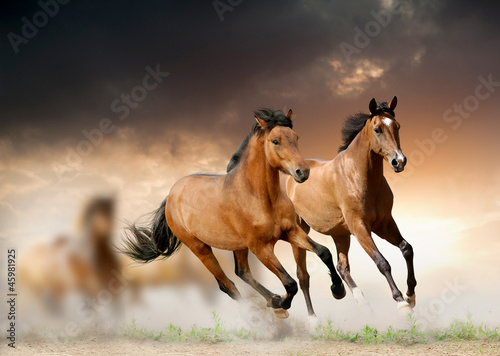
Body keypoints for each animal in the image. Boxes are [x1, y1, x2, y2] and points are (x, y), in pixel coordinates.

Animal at [122, 109, 344, 320]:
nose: (302, 172)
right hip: (201, 248)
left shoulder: (290, 231)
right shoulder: (260, 247)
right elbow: (290, 283)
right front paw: (282, 303)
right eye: (275, 141)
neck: (260, 197)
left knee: (242, 272)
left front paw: (338, 290)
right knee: (227, 284)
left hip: (238, 246)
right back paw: (263, 314)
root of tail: (171, 195)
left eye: (296, 137)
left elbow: (323, 251)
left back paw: (272, 301)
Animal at [284, 97, 416, 318]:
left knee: (342, 267)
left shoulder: (384, 223)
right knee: (303, 276)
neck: (358, 176)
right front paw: (401, 302)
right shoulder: (360, 227)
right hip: (300, 232)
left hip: (340, 234)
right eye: (378, 129)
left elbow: (407, 249)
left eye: (397, 126)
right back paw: (313, 319)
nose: (399, 161)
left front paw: (410, 295)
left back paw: (358, 301)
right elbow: (382, 262)